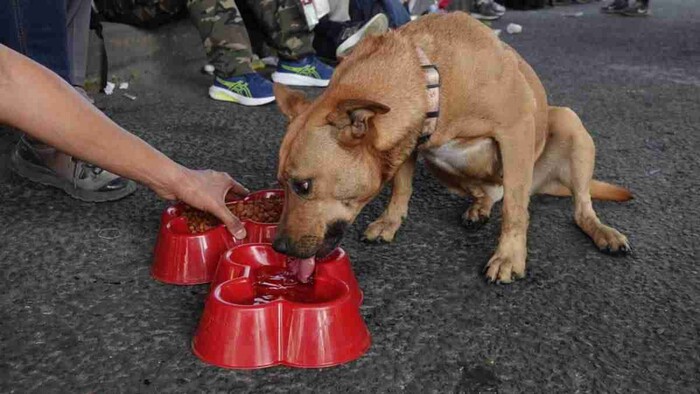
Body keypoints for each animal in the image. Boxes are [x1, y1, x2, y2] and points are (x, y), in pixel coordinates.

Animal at [270, 13, 632, 284]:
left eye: (303, 186)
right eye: (281, 184)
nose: (278, 247)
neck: (431, 78)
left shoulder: (516, 131)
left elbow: (515, 210)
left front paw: (509, 257)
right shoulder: (411, 142)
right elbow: (401, 188)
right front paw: (390, 222)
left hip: (568, 124)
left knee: (577, 206)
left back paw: (602, 232)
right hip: (440, 163)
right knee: (488, 192)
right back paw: (479, 207)